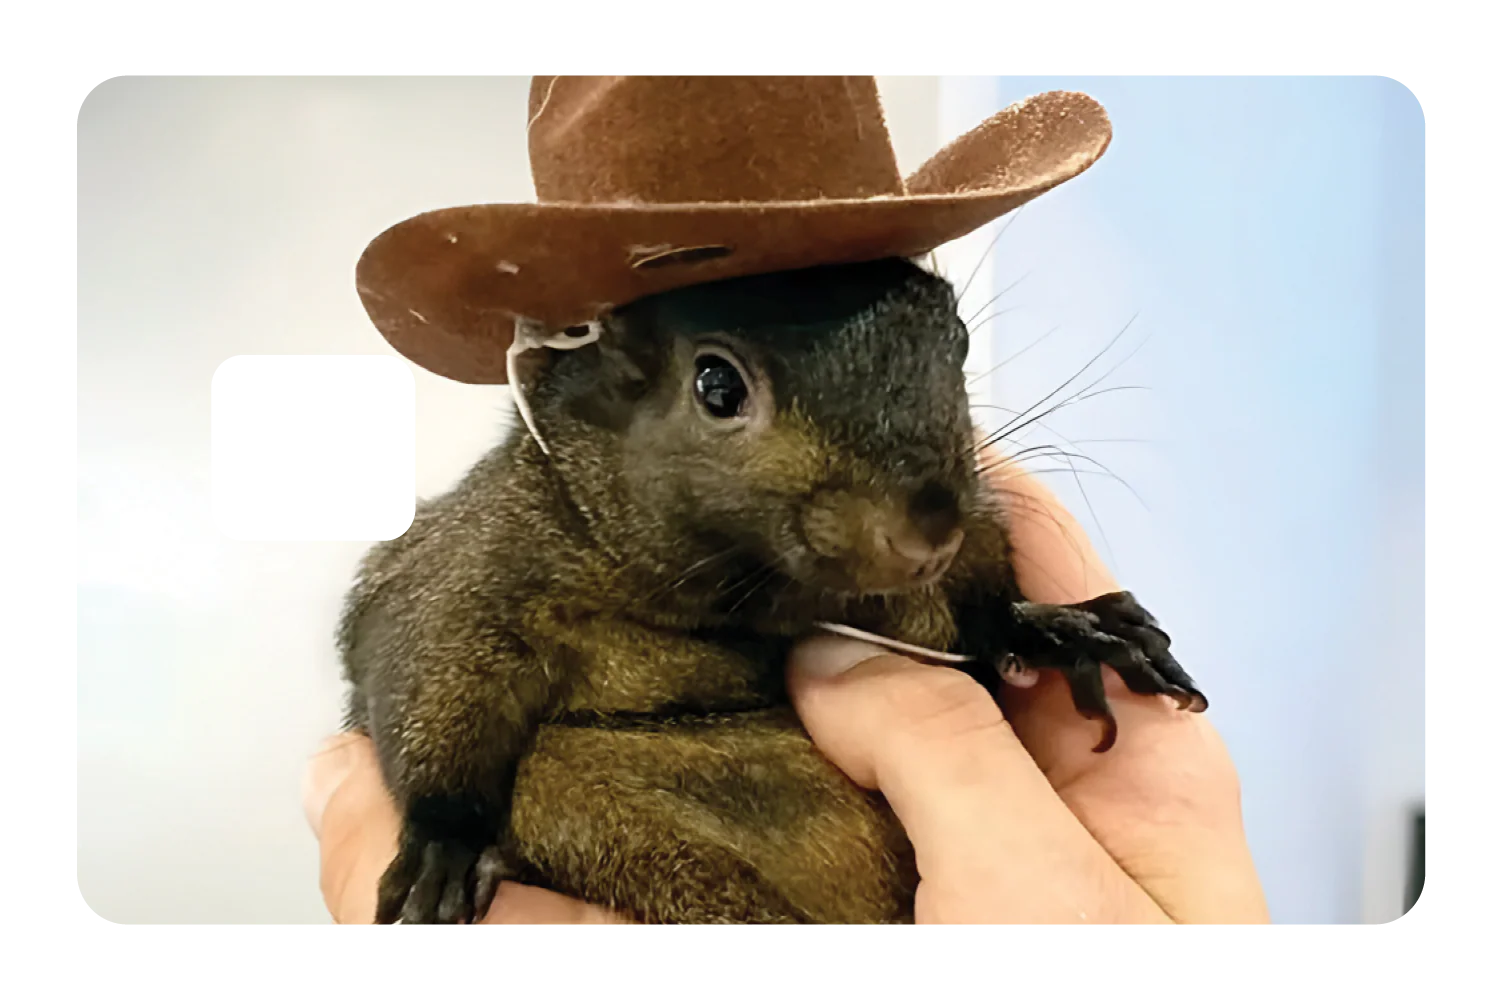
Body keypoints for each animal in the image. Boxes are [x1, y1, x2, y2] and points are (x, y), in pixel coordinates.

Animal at [336, 255, 1208, 927]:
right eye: (717, 387)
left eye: (956, 341)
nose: (929, 531)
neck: (751, 595)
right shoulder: (475, 563)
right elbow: (426, 666)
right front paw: (443, 846)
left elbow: (981, 612)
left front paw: (1057, 628)